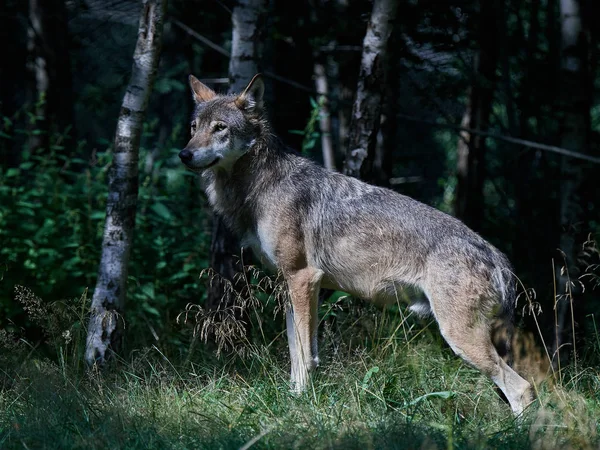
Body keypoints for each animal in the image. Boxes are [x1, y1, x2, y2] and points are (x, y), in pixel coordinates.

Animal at [178, 73, 536, 414]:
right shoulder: (292, 285)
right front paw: (293, 398)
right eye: (194, 128)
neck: (260, 186)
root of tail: (497, 256)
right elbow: (296, 352)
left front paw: (302, 402)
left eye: (220, 128)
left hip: (460, 338)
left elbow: (305, 356)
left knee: (523, 388)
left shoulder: (303, 279)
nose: (184, 154)